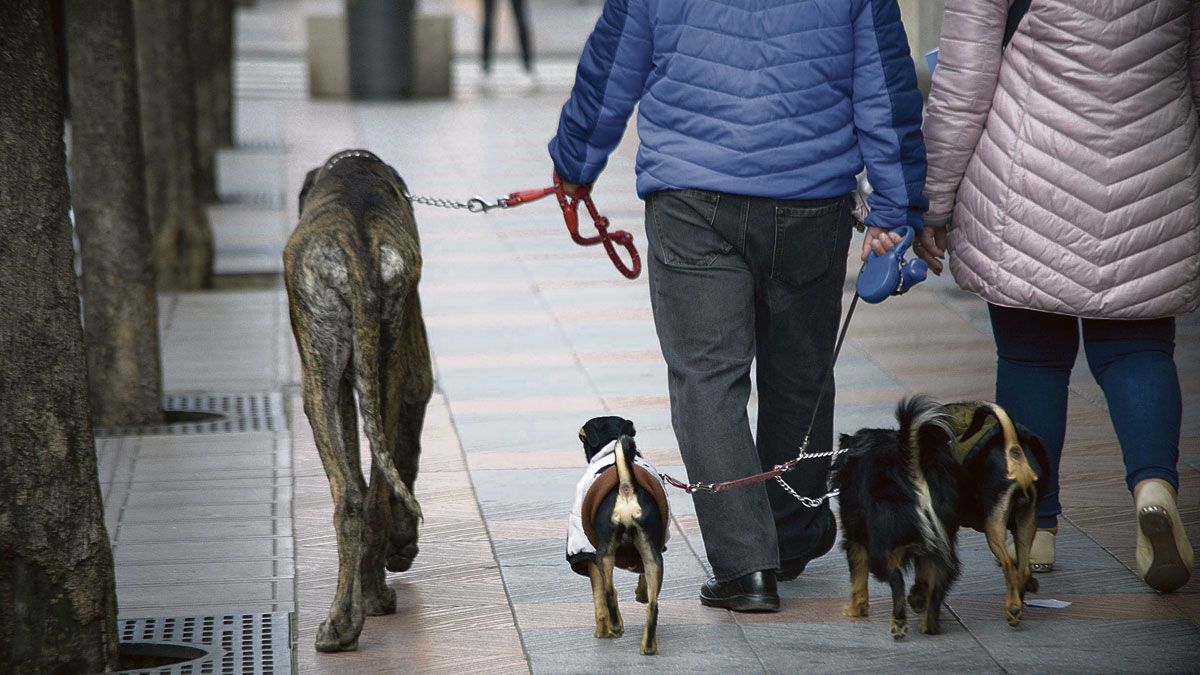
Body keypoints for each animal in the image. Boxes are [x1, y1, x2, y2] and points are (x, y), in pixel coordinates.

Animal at [283, 149, 434, 648]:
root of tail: (360, 249)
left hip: (326, 375)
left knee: (361, 495)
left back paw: (357, 611)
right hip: (371, 364)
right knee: (363, 498)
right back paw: (356, 610)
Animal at [566, 415, 672, 653]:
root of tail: (626, 487)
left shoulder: (589, 551)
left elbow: (598, 599)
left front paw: (601, 632)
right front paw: (641, 593)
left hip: (604, 553)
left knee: (609, 591)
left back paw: (616, 626)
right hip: (651, 554)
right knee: (653, 605)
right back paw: (648, 647)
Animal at [835, 396, 964, 638]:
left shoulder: (855, 538)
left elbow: (858, 577)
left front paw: (856, 609)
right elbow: (923, 575)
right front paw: (919, 597)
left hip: (881, 549)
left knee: (896, 582)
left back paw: (899, 622)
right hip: (941, 544)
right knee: (938, 585)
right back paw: (929, 623)